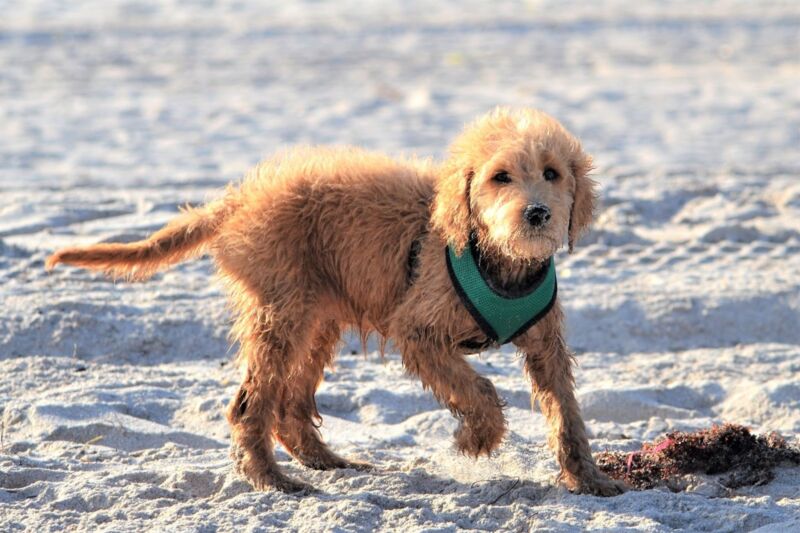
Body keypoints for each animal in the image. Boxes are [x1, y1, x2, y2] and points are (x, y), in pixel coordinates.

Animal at [47, 107, 628, 494]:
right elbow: (479, 391)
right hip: (282, 313)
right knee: (251, 405)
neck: (496, 259)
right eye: (499, 177)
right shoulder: (419, 333)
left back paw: (325, 461)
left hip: (317, 318)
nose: (537, 214)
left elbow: (566, 414)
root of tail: (239, 199)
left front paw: (588, 478)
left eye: (552, 173)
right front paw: (475, 441)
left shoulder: (546, 347)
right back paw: (271, 479)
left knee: (288, 405)